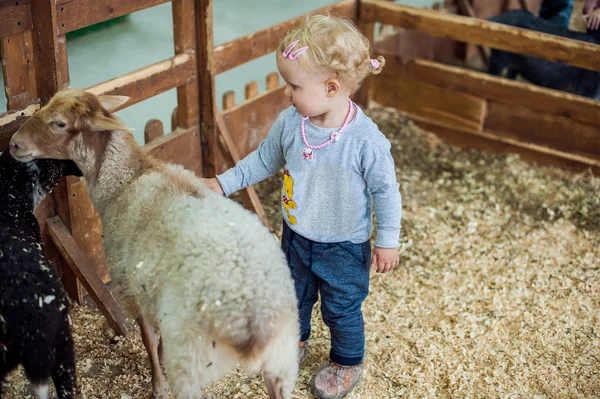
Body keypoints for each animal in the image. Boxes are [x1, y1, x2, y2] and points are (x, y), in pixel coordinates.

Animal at [8, 90, 298, 399]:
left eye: (59, 123)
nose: (14, 144)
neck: (127, 179)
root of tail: (253, 309)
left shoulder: (130, 286)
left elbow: (148, 338)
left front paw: (158, 384)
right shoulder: (151, 291)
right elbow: (156, 339)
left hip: (192, 353)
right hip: (282, 355)